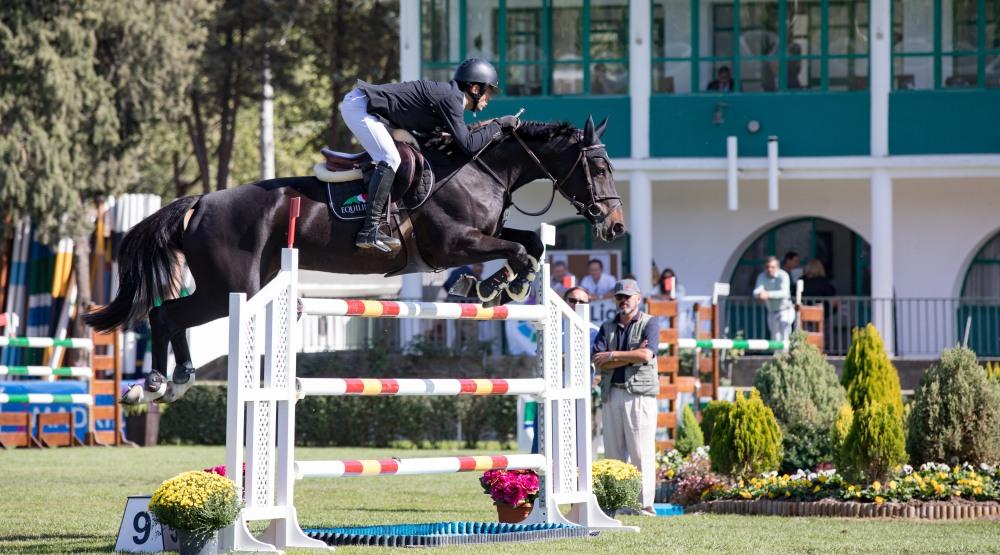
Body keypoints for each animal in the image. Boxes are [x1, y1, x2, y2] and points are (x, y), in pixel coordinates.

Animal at [84, 116, 624, 404]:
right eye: (599, 165)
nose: (615, 226)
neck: (482, 169)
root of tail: (200, 202)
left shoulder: (479, 236)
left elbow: (529, 243)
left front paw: (497, 286)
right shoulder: (453, 243)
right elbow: (516, 249)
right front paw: (495, 285)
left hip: (240, 286)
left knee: (173, 318)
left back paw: (177, 382)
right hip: (230, 289)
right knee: (165, 314)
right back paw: (152, 384)